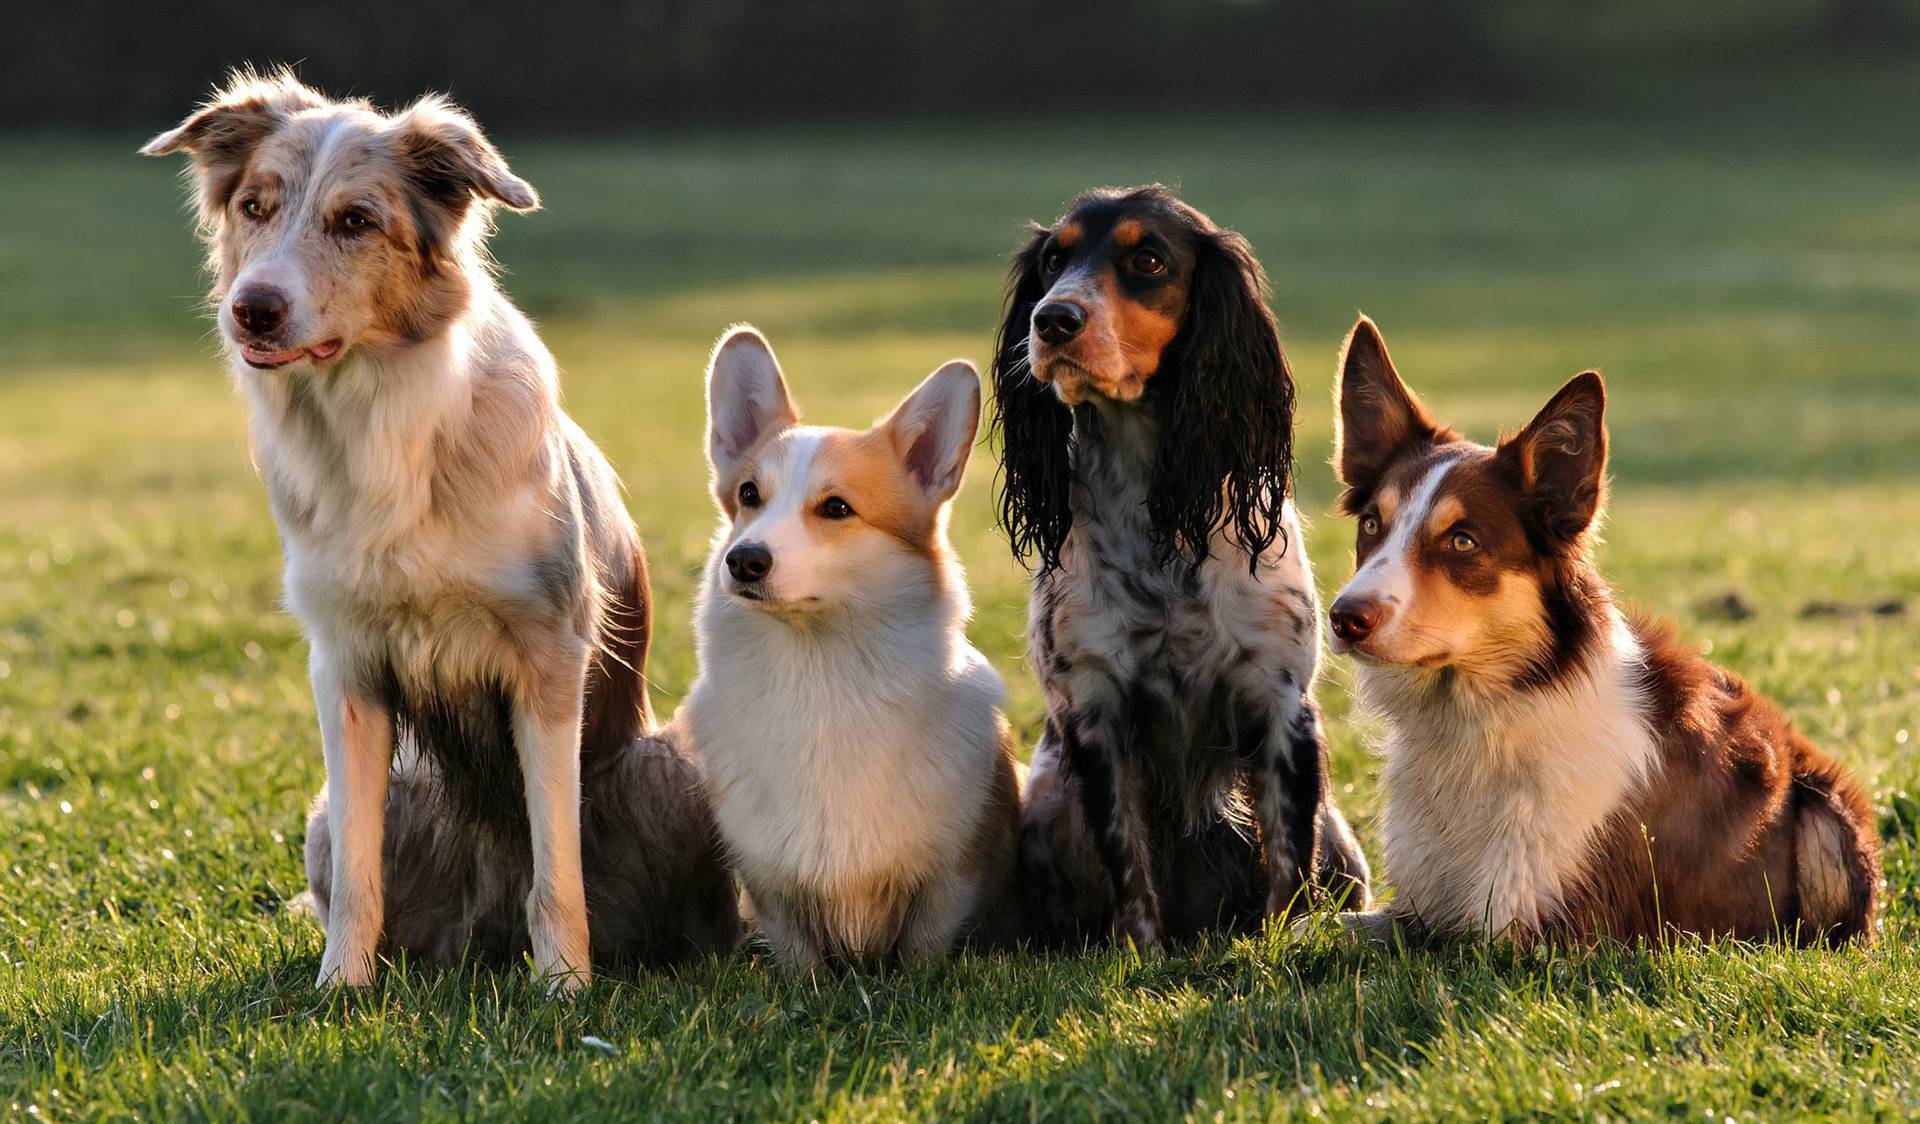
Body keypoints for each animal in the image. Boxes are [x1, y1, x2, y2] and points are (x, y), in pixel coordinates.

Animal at [142, 70, 737, 983]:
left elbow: (555, 863)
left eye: (356, 220)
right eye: (253, 207)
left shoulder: (548, 656)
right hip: (347, 808)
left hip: (667, 765)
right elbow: (360, 875)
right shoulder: (346, 667)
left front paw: (565, 988)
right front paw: (339, 989)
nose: (252, 311)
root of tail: (481, 932)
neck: (377, 419)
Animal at [687, 324, 1021, 964]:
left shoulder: (949, 879)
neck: (821, 674)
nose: (743, 561)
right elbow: (801, 958)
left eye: (836, 507)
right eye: (749, 495)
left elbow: (922, 951)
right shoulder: (774, 889)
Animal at [990, 186, 1382, 945]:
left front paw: (1277, 947)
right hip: (1046, 806)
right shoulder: (1094, 711)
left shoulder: (1279, 704)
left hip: (1345, 845)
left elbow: (1286, 863)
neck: (1158, 518)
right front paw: (1140, 953)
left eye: (1148, 260)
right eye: (1053, 260)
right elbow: (1128, 861)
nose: (1053, 319)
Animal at [1328, 317, 1881, 945]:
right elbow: (1318, 922)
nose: (1344, 617)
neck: (1481, 717)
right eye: (1373, 525)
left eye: (1462, 541)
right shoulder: (1421, 904)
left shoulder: (1541, 932)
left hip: (1828, 820)